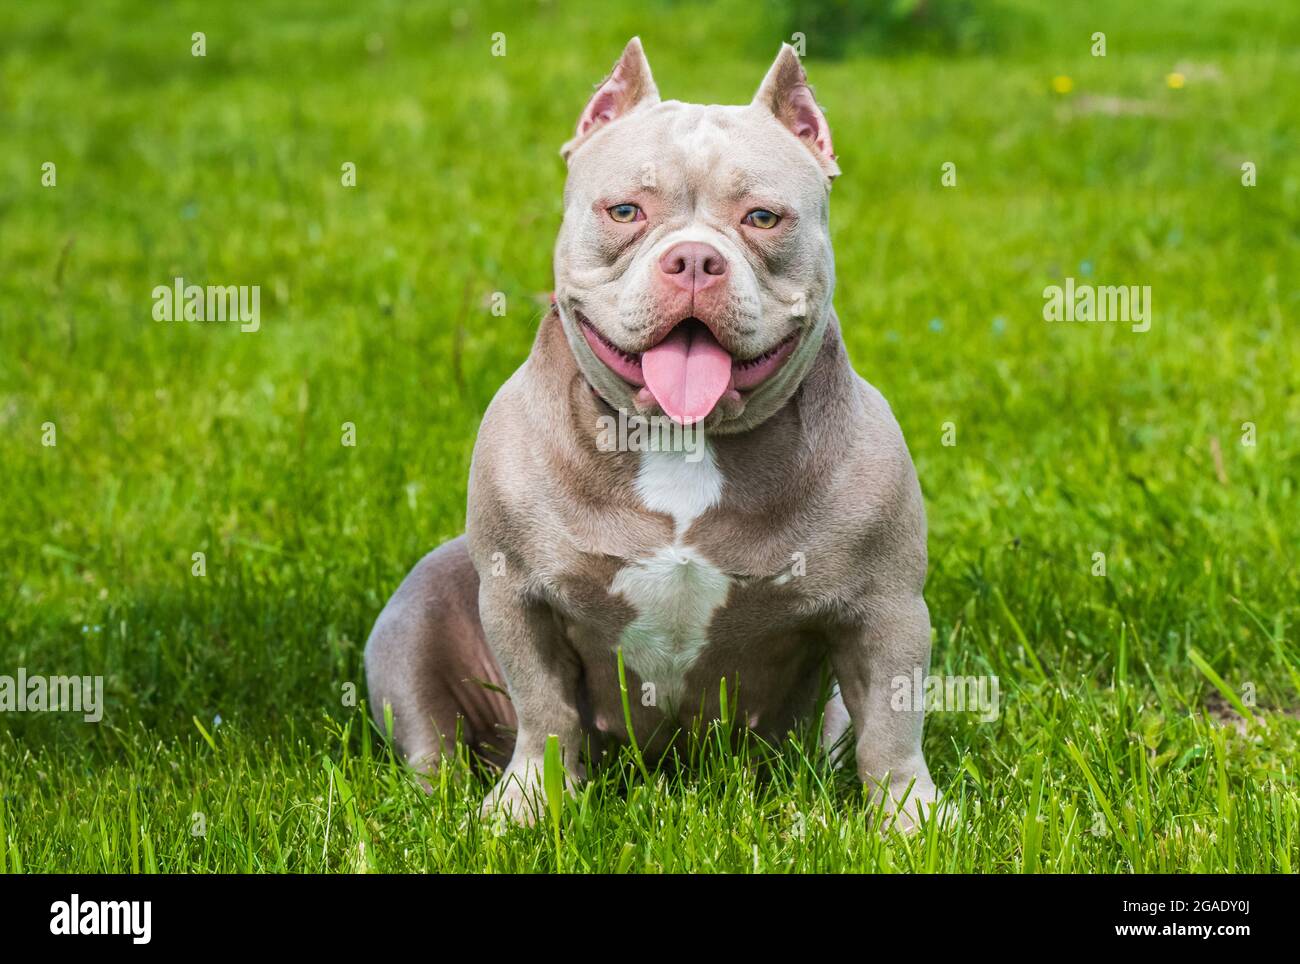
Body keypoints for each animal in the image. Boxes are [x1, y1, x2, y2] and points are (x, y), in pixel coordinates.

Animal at [361, 37, 941, 831]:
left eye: (764, 218)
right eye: (625, 211)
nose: (694, 259)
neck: (682, 441)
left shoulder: (887, 610)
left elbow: (891, 727)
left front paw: (911, 823)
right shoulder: (520, 599)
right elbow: (546, 713)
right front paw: (527, 807)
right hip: (414, 617)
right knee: (432, 743)